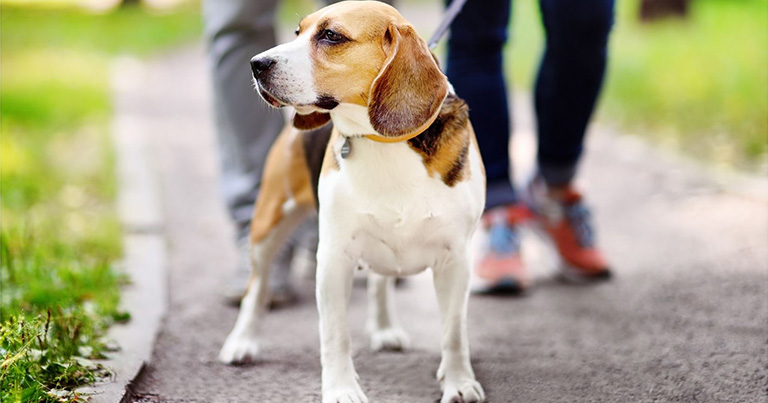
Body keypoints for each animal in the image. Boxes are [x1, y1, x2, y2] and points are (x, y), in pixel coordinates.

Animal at [219, 1, 486, 402]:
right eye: (298, 33)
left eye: (331, 36)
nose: (257, 64)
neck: (385, 142)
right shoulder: (333, 260)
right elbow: (335, 335)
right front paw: (341, 389)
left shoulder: (456, 260)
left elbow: (454, 332)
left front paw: (459, 382)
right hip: (267, 227)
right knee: (257, 289)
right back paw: (241, 341)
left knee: (380, 281)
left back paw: (385, 328)